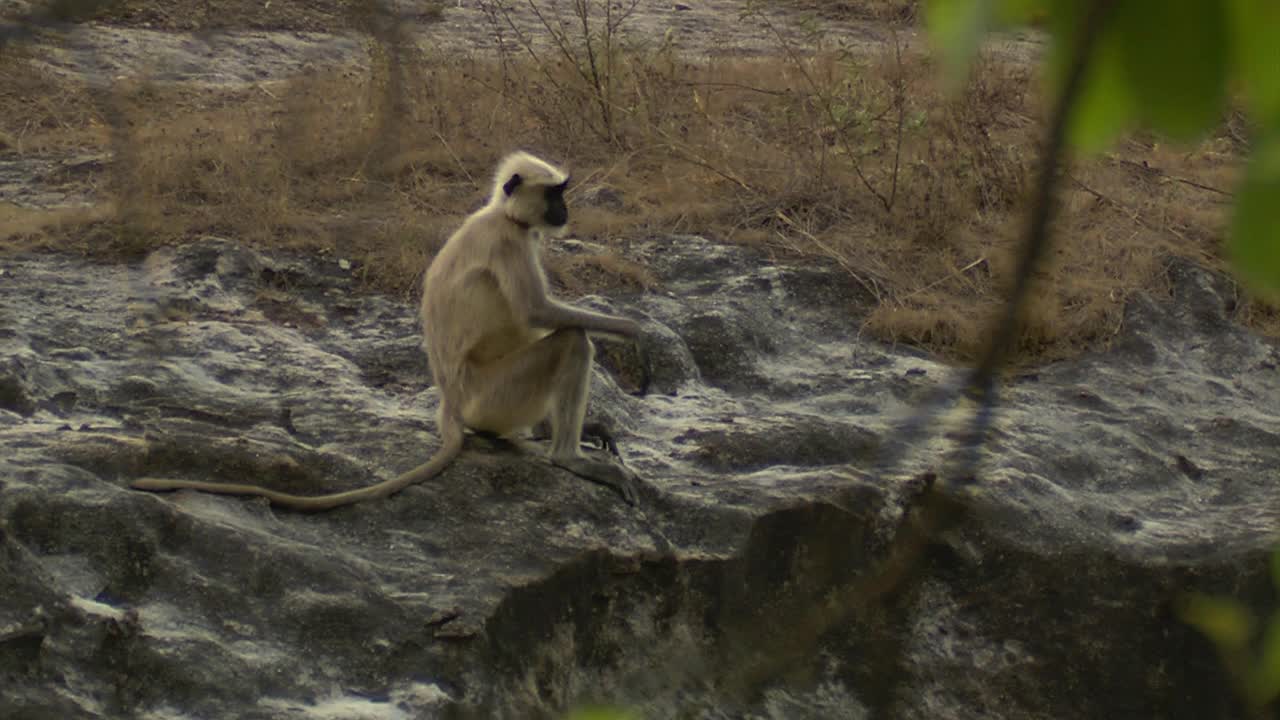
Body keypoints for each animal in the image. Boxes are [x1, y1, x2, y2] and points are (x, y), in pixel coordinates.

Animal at [132, 148, 640, 507]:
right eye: (555, 195)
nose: (566, 210)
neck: (504, 215)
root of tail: (450, 404)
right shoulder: (508, 241)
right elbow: (536, 313)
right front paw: (632, 328)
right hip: (494, 395)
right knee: (572, 342)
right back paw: (565, 455)